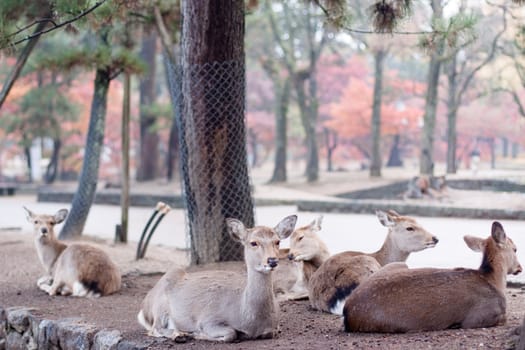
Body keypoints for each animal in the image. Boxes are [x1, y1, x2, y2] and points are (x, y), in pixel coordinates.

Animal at [137, 215, 296, 340]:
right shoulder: (208, 318)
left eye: (277, 241)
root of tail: (144, 308)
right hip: (159, 305)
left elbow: (271, 332)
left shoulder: (274, 327)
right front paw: (197, 334)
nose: (272, 261)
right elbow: (230, 334)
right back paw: (180, 335)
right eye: (253, 242)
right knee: (155, 329)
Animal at [344, 221, 520, 334]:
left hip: (397, 265)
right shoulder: (479, 317)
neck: (494, 280)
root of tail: (347, 312)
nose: (520, 267)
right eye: (516, 249)